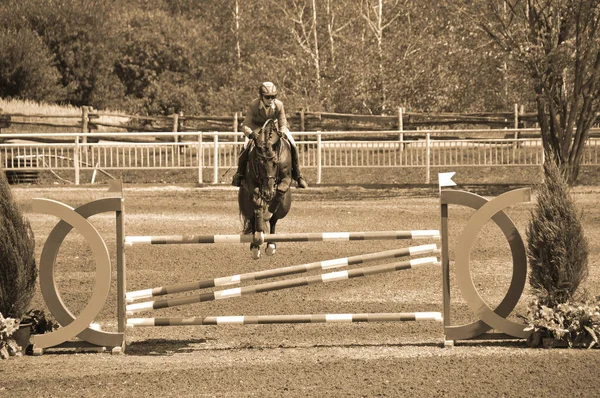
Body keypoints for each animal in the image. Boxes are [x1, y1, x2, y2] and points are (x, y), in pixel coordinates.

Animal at [240, 119, 294, 260]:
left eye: (275, 163)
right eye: (259, 163)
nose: (268, 192)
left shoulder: (286, 179)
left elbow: (280, 191)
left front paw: (267, 214)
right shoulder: (251, 182)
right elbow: (257, 202)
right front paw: (259, 234)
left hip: (284, 208)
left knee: (274, 220)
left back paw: (271, 246)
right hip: (245, 205)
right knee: (252, 218)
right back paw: (255, 246)